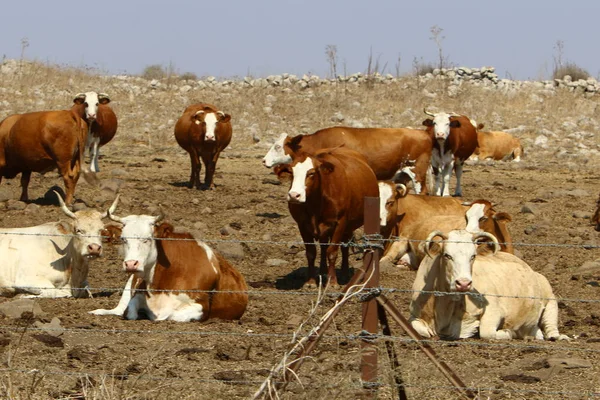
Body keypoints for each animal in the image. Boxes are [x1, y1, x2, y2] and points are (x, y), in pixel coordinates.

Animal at [89, 212, 248, 322]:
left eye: (148, 239)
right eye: (123, 239)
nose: (130, 264)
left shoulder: (200, 306)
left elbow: (169, 315)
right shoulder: (136, 295)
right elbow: (130, 311)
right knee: (118, 309)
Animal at [284, 147, 378, 288]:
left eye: (311, 173)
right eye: (291, 172)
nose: (294, 195)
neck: (316, 203)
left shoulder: (340, 223)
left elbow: (332, 252)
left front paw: (332, 282)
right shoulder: (302, 225)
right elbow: (311, 252)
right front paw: (310, 282)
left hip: (348, 226)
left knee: (344, 246)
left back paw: (343, 274)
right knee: (324, 247)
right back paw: (323, 272)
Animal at [410, 230, 568, 342]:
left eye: (473, 256)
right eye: (447, 255)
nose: (464, 283)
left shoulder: (494, 309)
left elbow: (486, 332)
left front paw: (509, 332)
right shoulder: (414, 314)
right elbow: (419, 328)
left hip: (550, 300)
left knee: (551, 328)